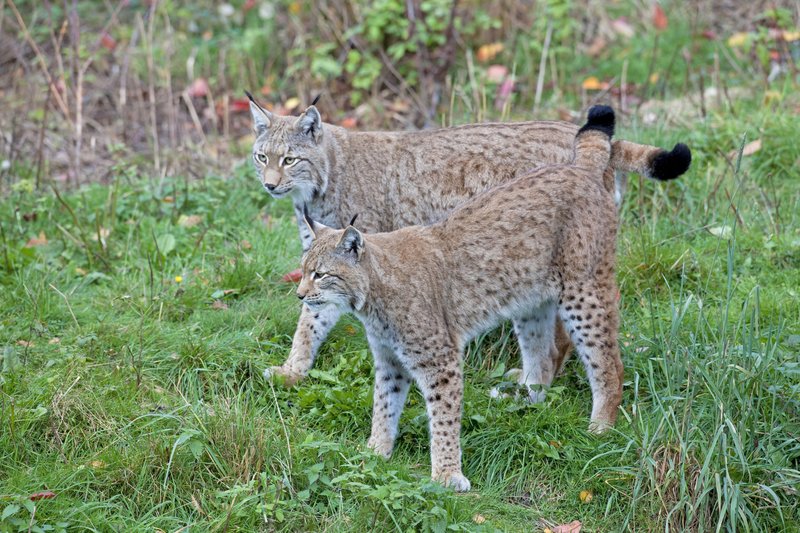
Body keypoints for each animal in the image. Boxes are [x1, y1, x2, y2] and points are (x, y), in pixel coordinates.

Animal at [247, 93, 692, 388]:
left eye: (290, 159)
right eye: (261, 157)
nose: (269, 186)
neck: (320, 184)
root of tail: (577, 131)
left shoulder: (356, 256)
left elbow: (317, 313)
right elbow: (311, 318)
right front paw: (292, 370)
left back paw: (545, 378)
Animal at [292, 107, 688, 490]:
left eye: (321, 274)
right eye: (304, 269)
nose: (300, 295)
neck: (371, 300)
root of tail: (580, 168)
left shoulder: (441, 361)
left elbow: (444, 417)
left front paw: (447, 475)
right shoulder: (390, 359)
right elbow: (383, 404)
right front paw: (375, 453)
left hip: (583, 289)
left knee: (608, 362)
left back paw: (600, 429)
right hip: (530, 300)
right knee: (543, 357)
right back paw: (525, 401)